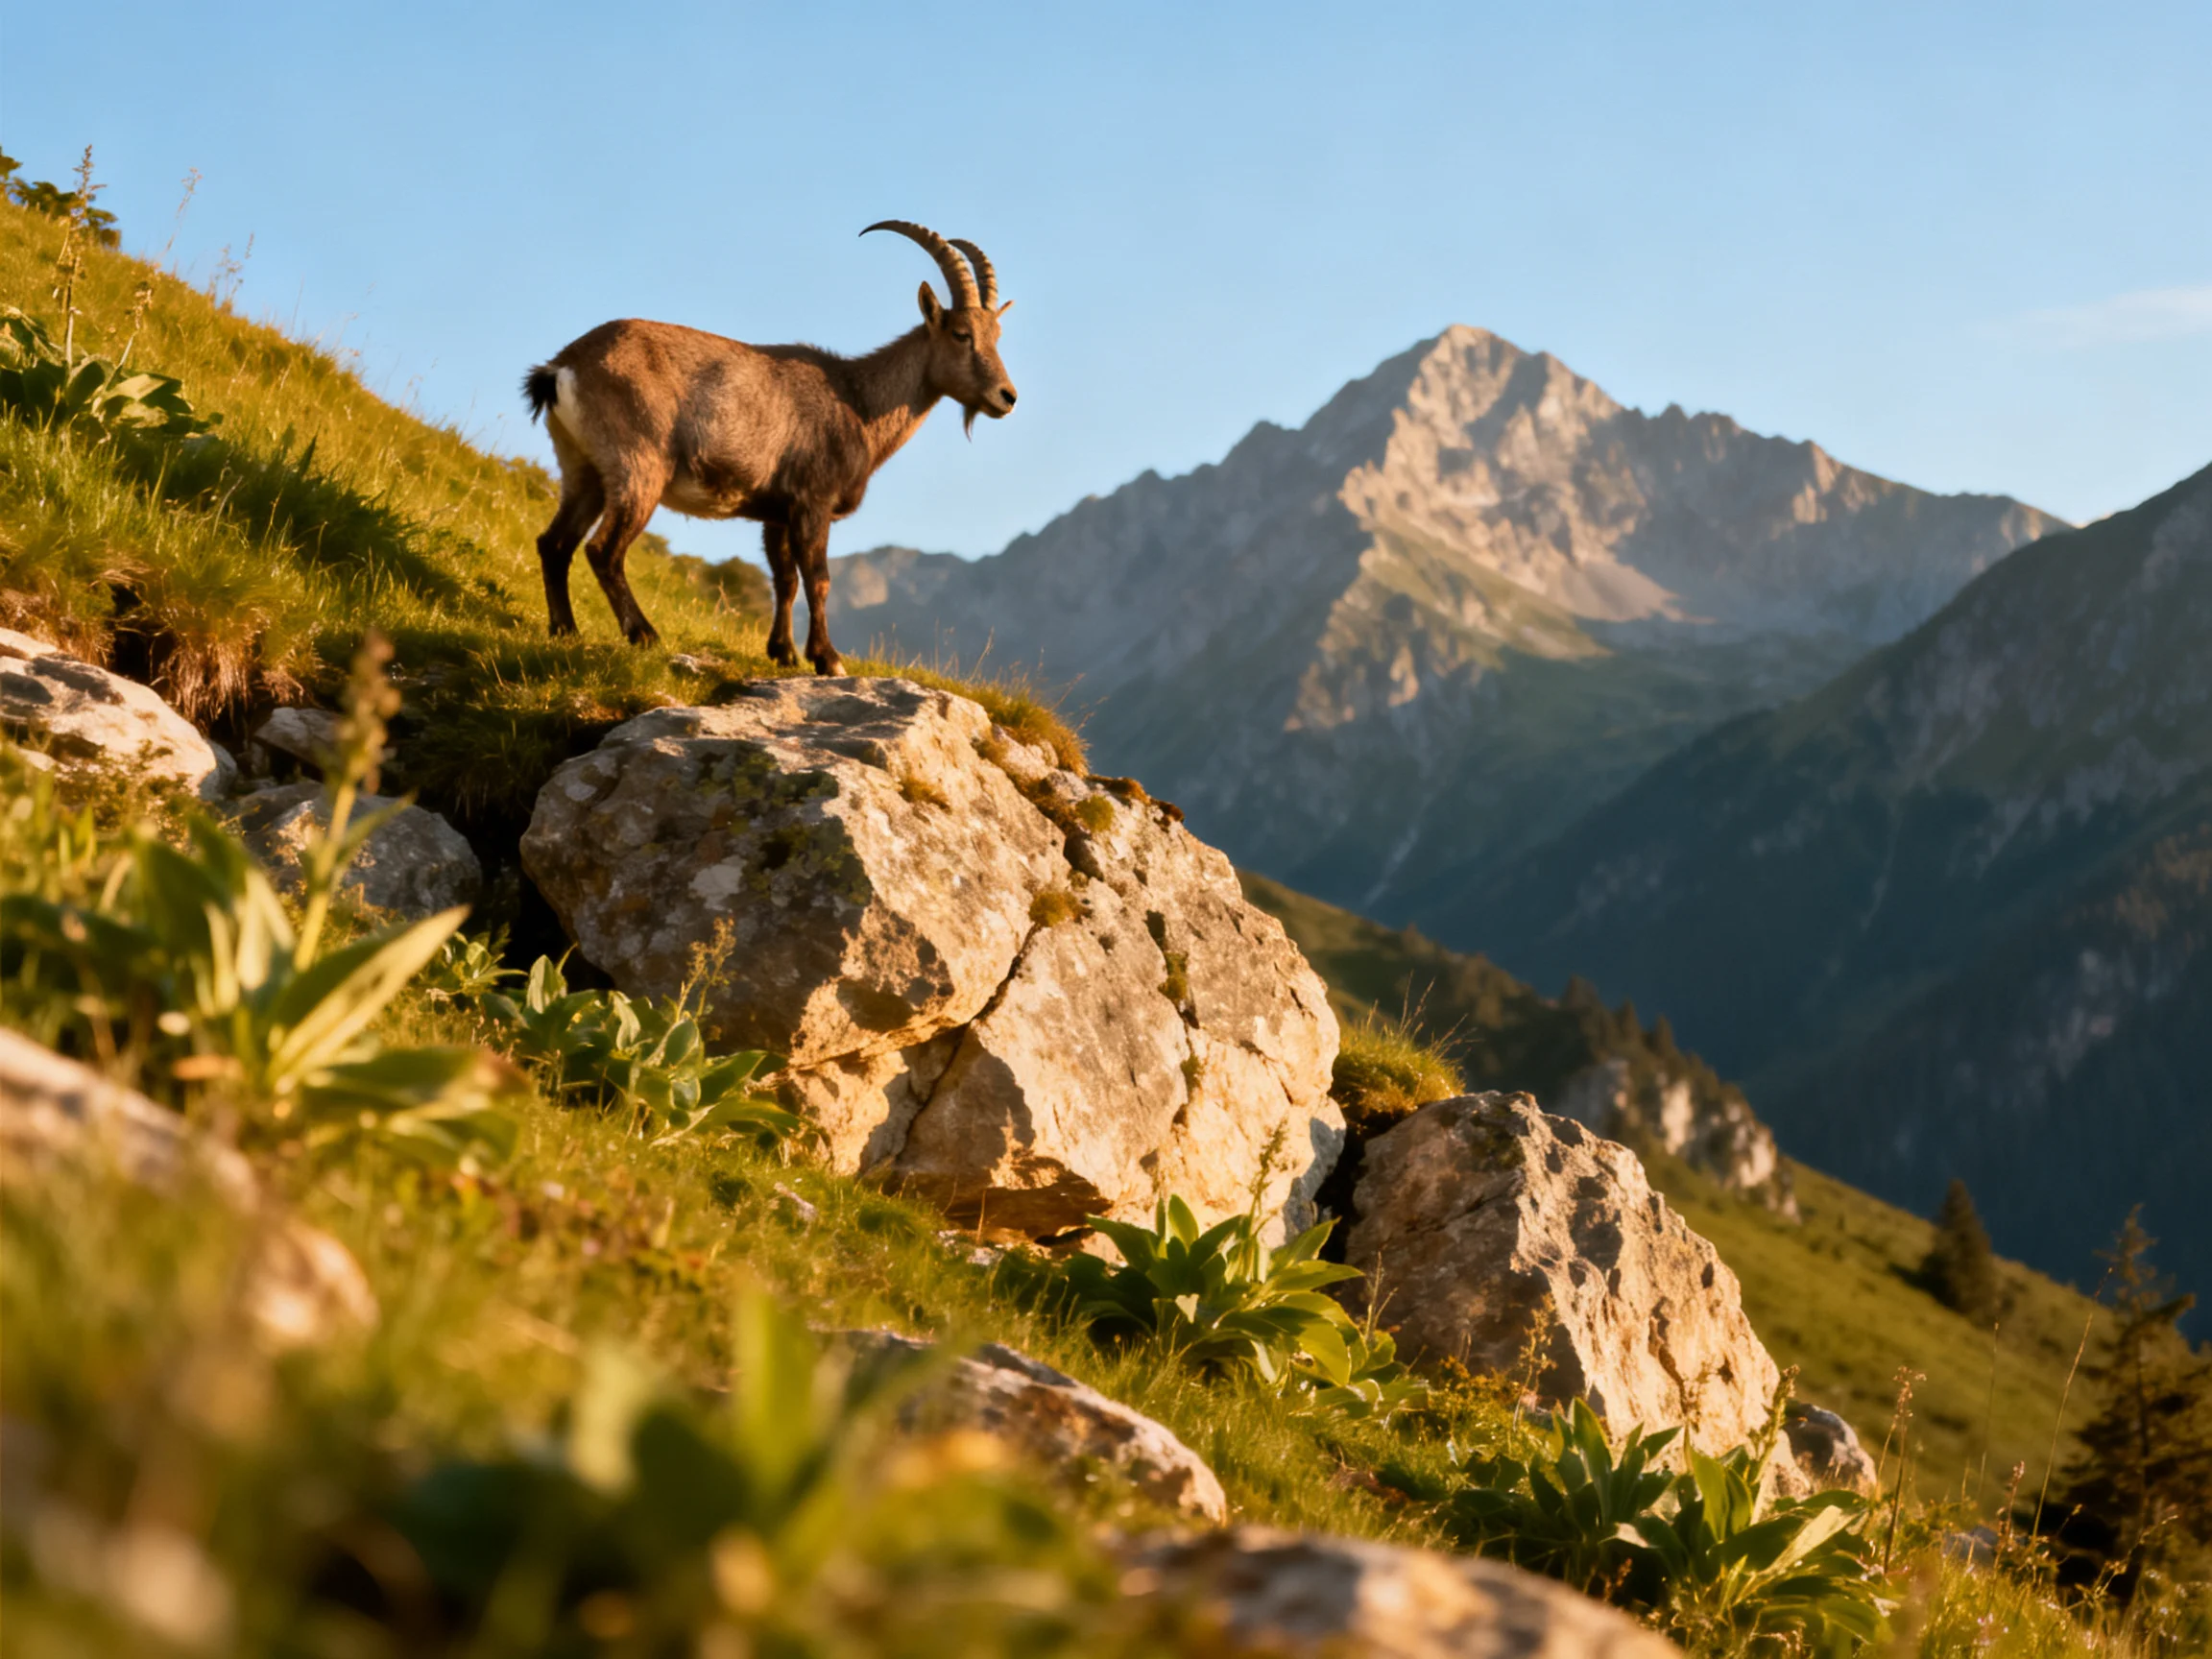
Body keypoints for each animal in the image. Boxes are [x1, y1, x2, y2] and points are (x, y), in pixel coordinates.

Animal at [521, 221, 1016, 673]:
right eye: (961, 334)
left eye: (997, 336)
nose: (1006, 397)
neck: (857, 402)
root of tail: (562, 367)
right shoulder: (812, 502)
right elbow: (818, 579)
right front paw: (828, 659)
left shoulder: (778, 512)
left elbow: (785, 581)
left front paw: (784, 653)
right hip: (639, 468)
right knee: (602, 549)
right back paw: (643, 634)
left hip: (582, 469)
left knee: (555, 542)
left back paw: (565, 630)